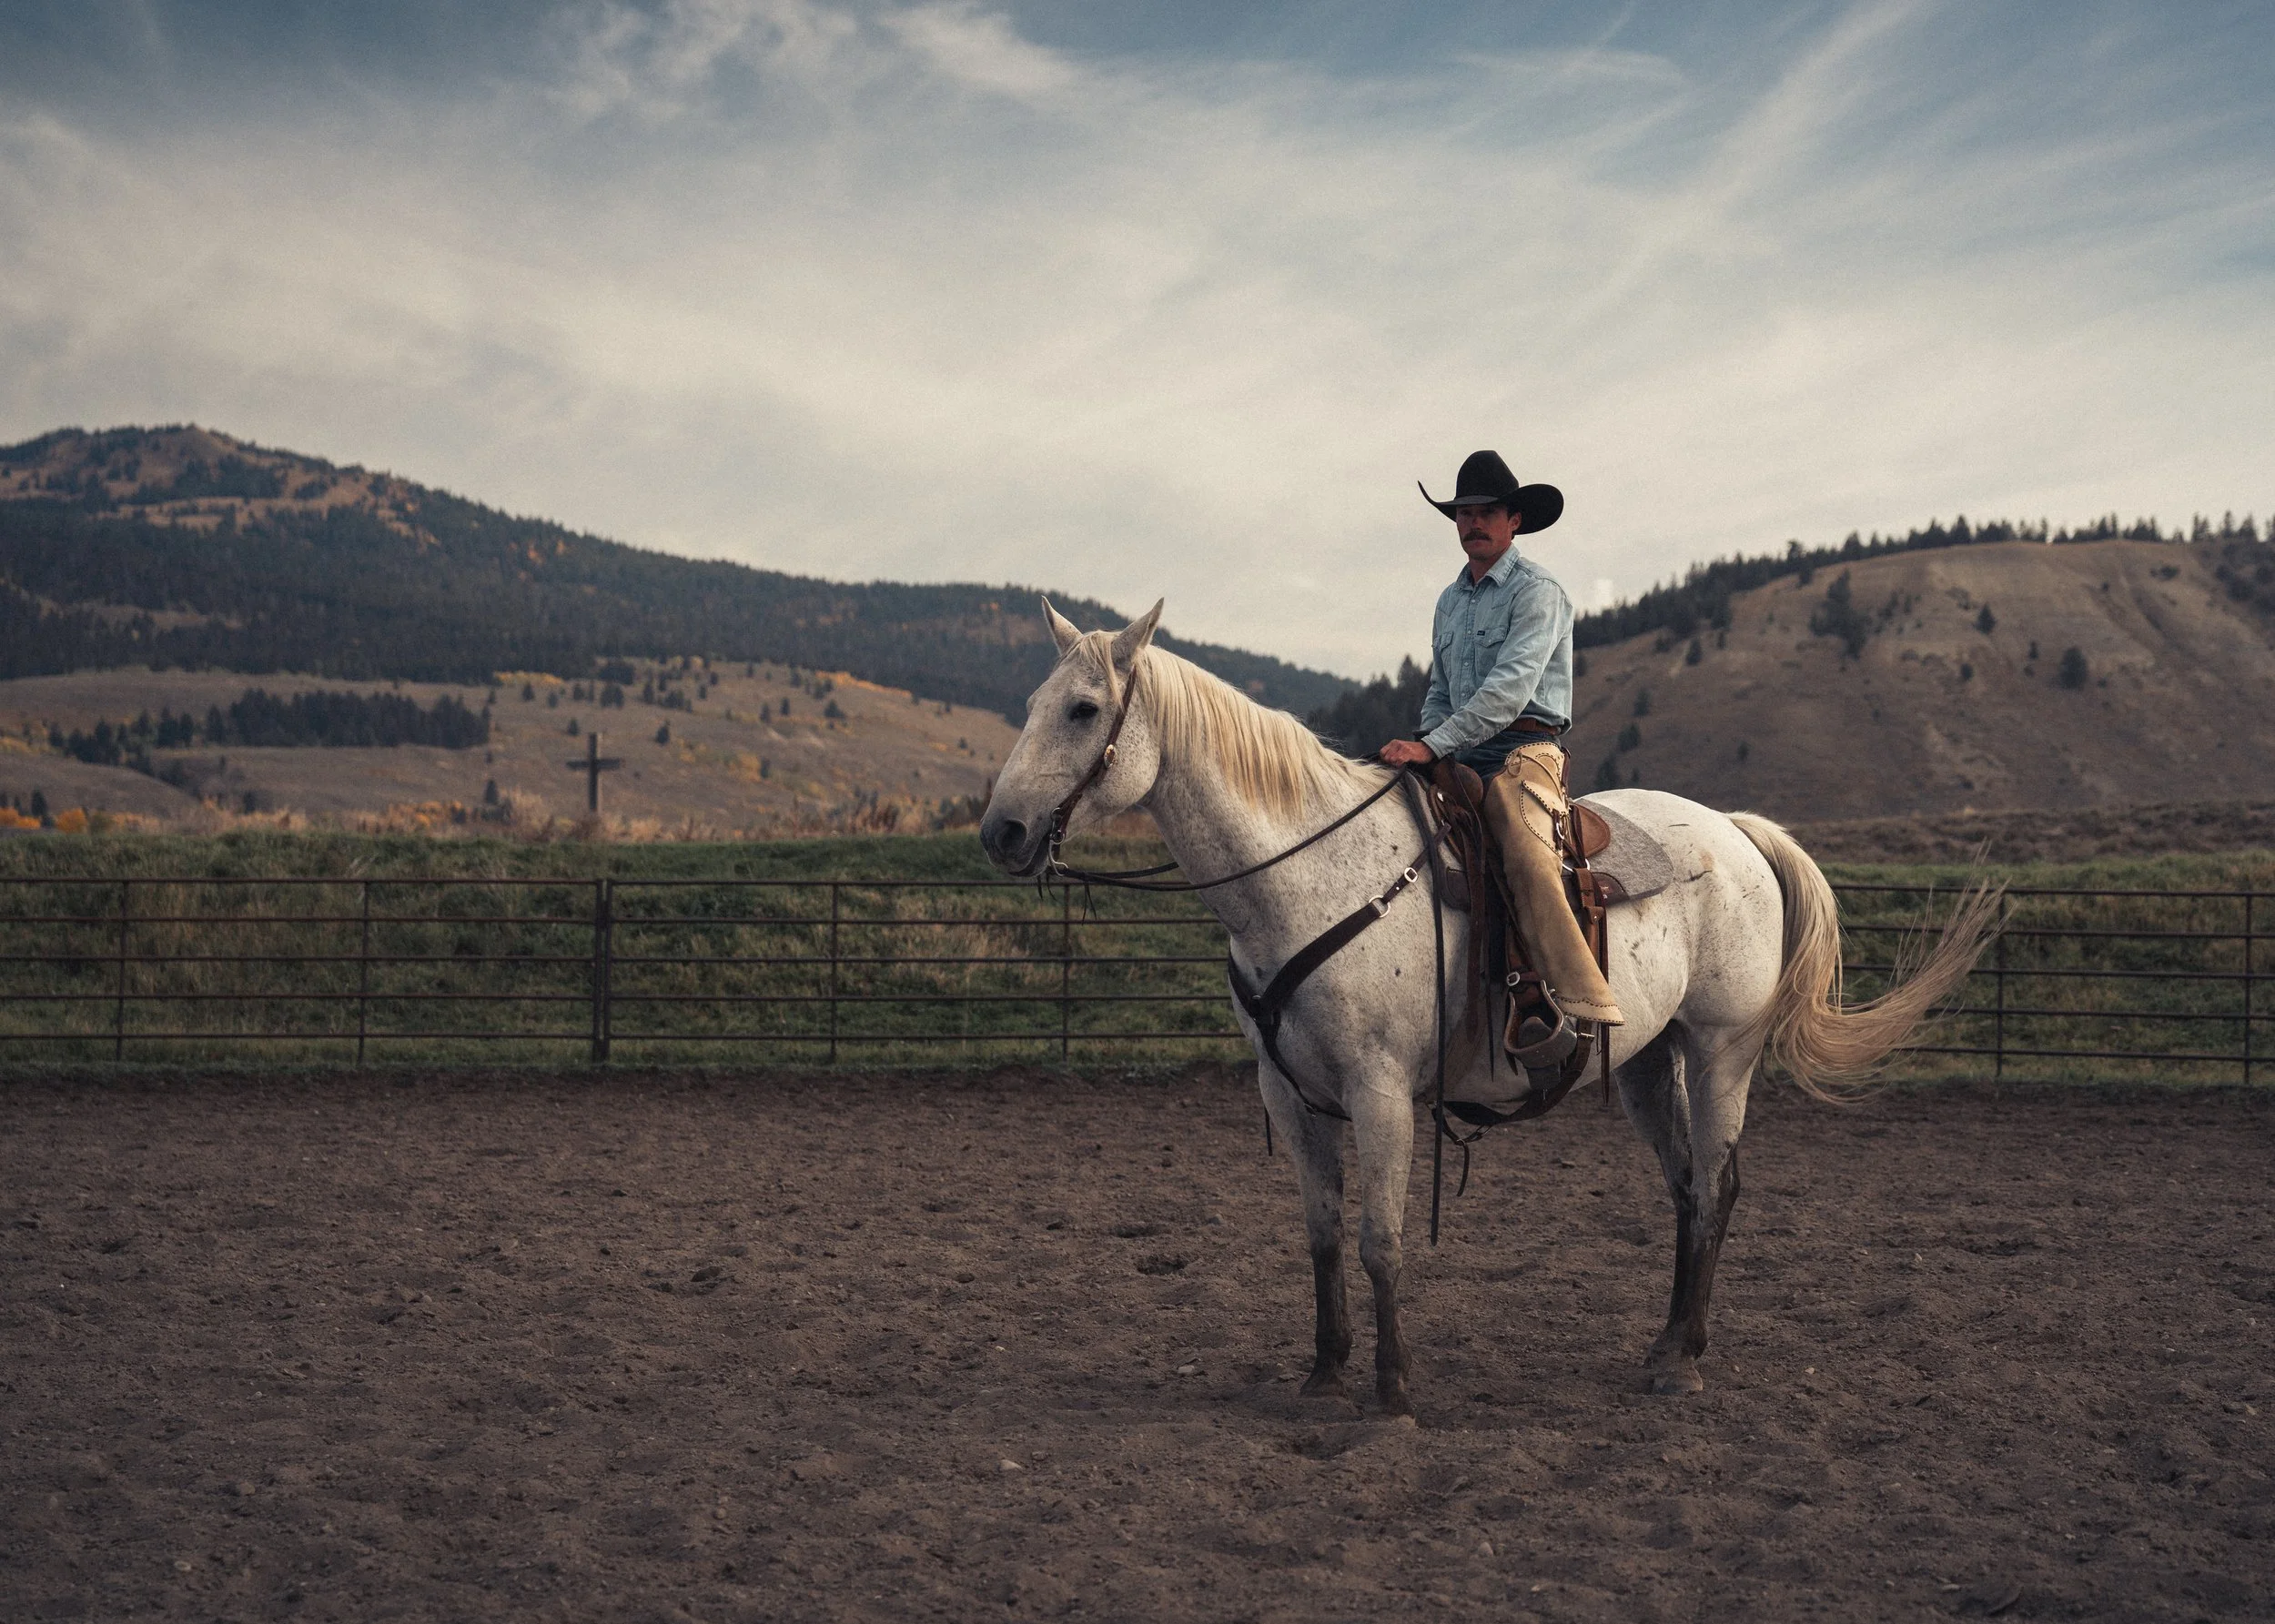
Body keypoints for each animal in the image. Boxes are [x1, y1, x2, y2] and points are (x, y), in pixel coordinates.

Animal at [979, 599, 1995, 1416]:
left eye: (1082, 709)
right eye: (1029, 705)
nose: (1001, 832)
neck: (1303, 876)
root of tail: (1738, 831)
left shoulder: (1381, 1091)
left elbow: (1381, 1240)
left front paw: (1391, 1390)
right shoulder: (1288, 1095)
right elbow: (1321, 1235)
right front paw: (1323, 1374)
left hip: (1720, 1052)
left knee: (1716, 1184)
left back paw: (1685, 1362)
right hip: (1647, 1062)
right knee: (1683, 1186)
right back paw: (1664, 1342)